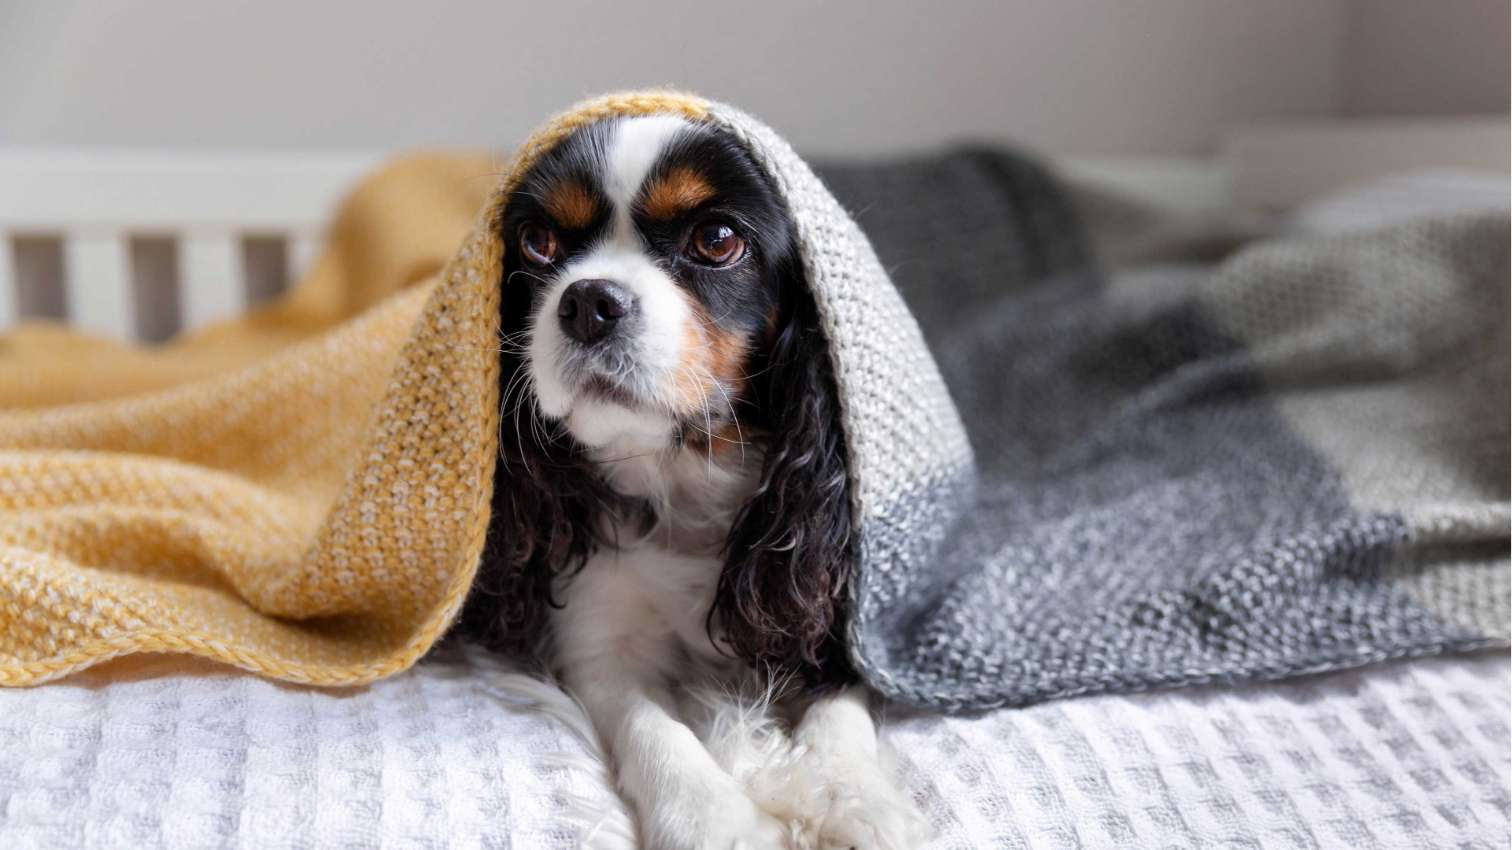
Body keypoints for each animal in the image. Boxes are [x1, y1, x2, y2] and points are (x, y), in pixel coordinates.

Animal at [459, 114, 925, 846]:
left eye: (717, 240)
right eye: (537, 243)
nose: (588, 300)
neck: (681, 473)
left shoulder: (843, 616)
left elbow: (840, 704)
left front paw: (851, 797)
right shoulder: (599, 645)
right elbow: (653, 726)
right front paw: (714, 818)